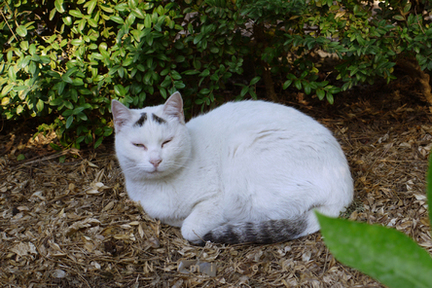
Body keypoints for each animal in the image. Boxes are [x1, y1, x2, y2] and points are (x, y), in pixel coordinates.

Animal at [112, 91, 354, 243]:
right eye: (138, 145)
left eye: (167, 142)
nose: (155, 160)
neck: (162, 185)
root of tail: (344, 190)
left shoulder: (217, 201)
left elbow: (189, 227)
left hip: (244, 167)